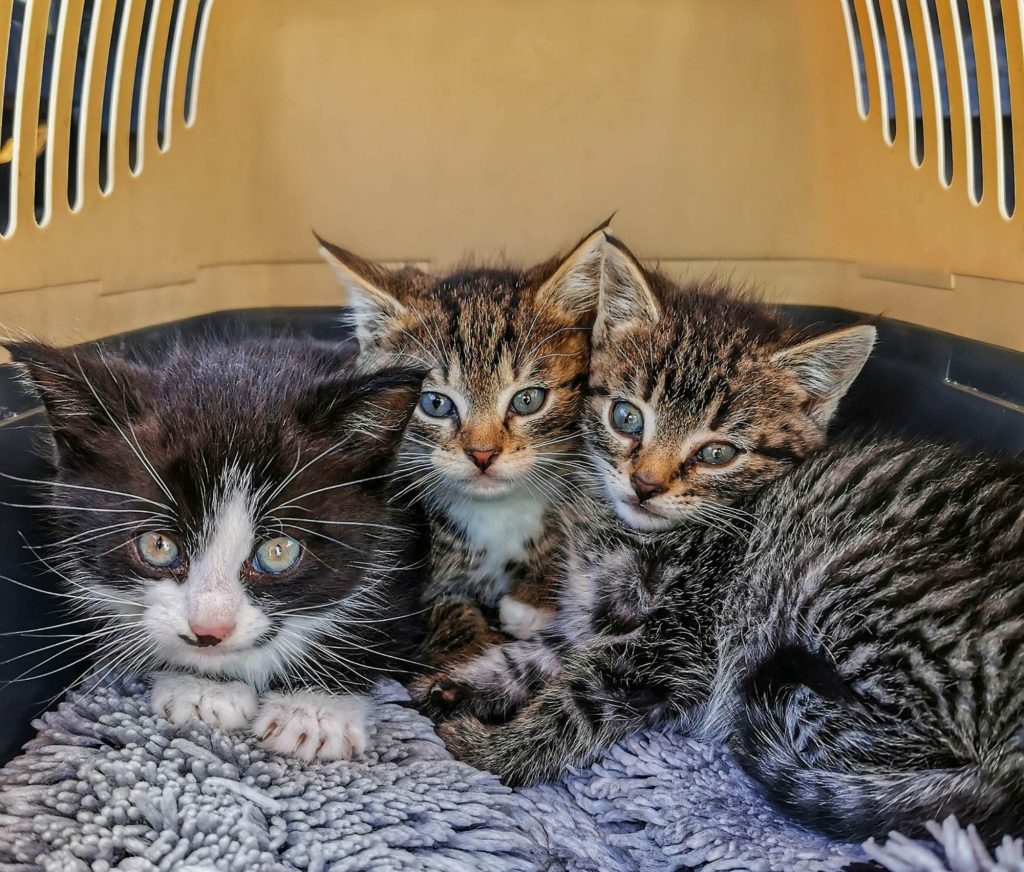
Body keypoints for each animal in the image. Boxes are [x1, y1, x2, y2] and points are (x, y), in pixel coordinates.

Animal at [7, 337, 428, 761]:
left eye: (279, 552)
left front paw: (314, 710)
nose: (209, 630)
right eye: (158, 545)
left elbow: (371, 618)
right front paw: (205, 687)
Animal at [317, 225, 606, 667]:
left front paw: (535, 598)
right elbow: (439, 611)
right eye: (435, 403)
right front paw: (471, 654)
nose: (483, 454)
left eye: (528, 400)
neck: (497, 514)